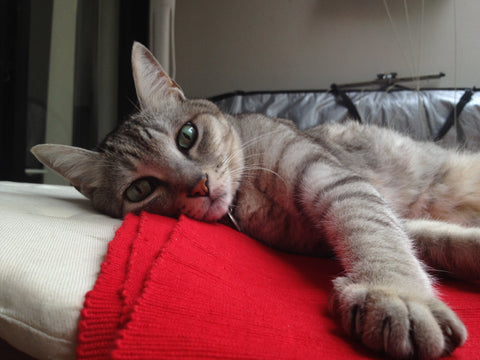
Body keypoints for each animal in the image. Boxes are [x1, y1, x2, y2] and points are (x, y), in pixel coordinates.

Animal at [31, 43, 478, 360]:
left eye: (187, 135)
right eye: (139, 190)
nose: (199, 186)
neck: (250, 193)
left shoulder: (336, 180)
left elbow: (374, 231)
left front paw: (397, 296)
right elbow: (427, 238)